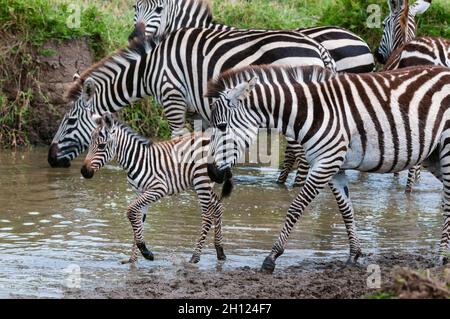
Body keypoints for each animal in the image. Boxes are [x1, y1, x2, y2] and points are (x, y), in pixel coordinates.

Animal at [50, 25, 338, 170]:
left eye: (71, 121)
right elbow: (205, 143)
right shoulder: (202, 109)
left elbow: (177, 139)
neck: (148, 68)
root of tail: (318, 48)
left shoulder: (172, 97)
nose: (50, 159)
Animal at [206, 64, 450, 272]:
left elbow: (295, 207)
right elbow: (346, 210)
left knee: (447, 203)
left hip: (446, 150)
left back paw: (442, 257)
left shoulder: (326, 163)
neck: (311, 112)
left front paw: (271, 257)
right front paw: (353, 255)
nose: (211, 172)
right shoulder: (335, 168)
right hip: (434, 156)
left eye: (222, 126)